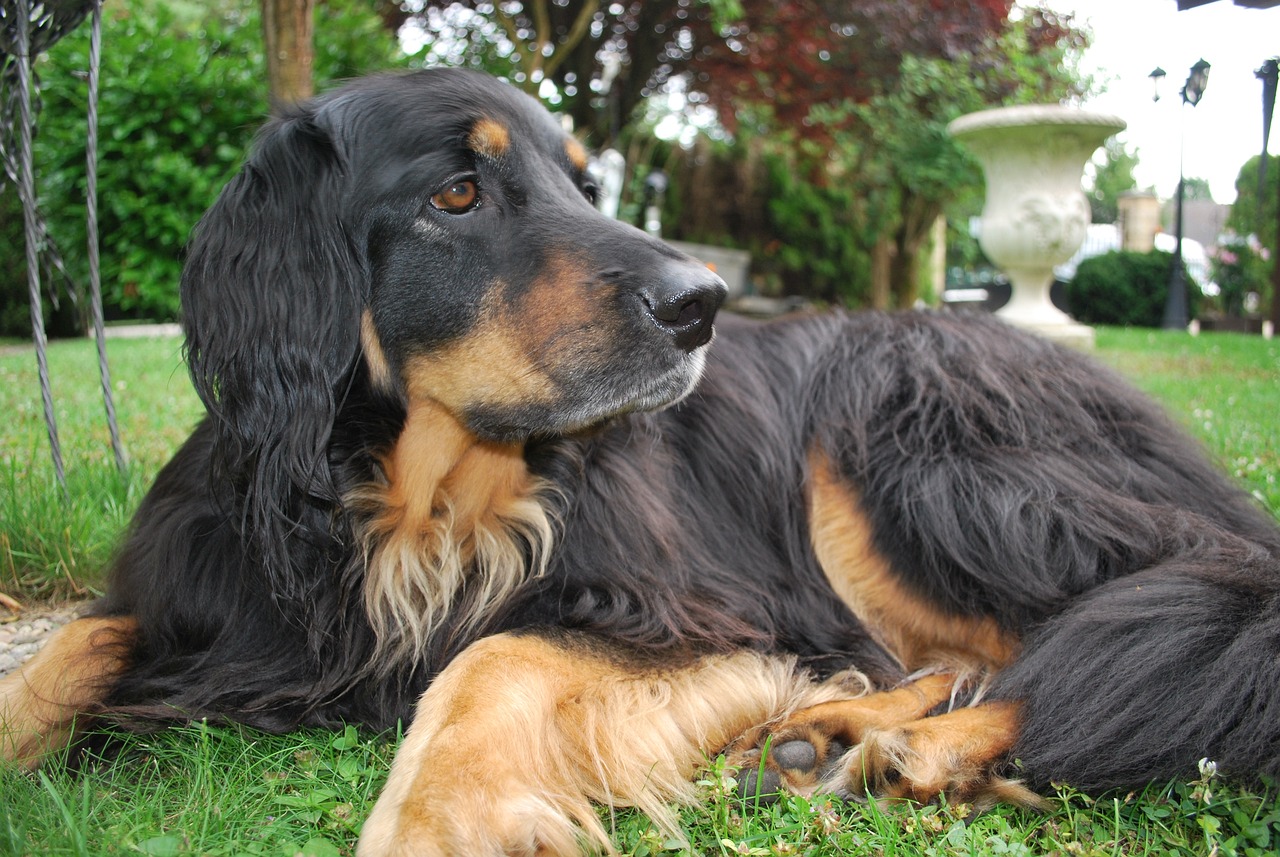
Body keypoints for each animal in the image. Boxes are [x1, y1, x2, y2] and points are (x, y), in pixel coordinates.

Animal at [2, 68, 1280, 857]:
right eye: (455, 192)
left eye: (583, 181)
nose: (702, 302)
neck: (422, 497)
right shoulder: (218, 586)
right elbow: (69, 645)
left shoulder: (695, 606)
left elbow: (492, 658)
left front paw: (435, 821)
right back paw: (834, 728)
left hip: (902, 440)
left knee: (1135, 625)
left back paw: (920, 741)